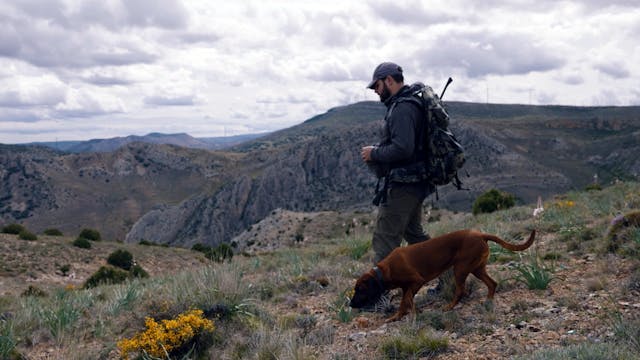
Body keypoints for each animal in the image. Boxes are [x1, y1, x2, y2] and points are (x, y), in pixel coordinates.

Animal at [350, 229, 536, 322]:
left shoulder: (416, 281)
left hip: (460, 269)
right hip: (477, 268)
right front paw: (398, 316)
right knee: (492, 283)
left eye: (360, 289)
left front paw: (410, 314)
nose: (351, 304)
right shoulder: (406, 287)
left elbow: (406, 300)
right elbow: (405, 301)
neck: (383, 271)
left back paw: (449, 306)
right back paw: (488, 302)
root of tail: (480, 234)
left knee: (461, 290)